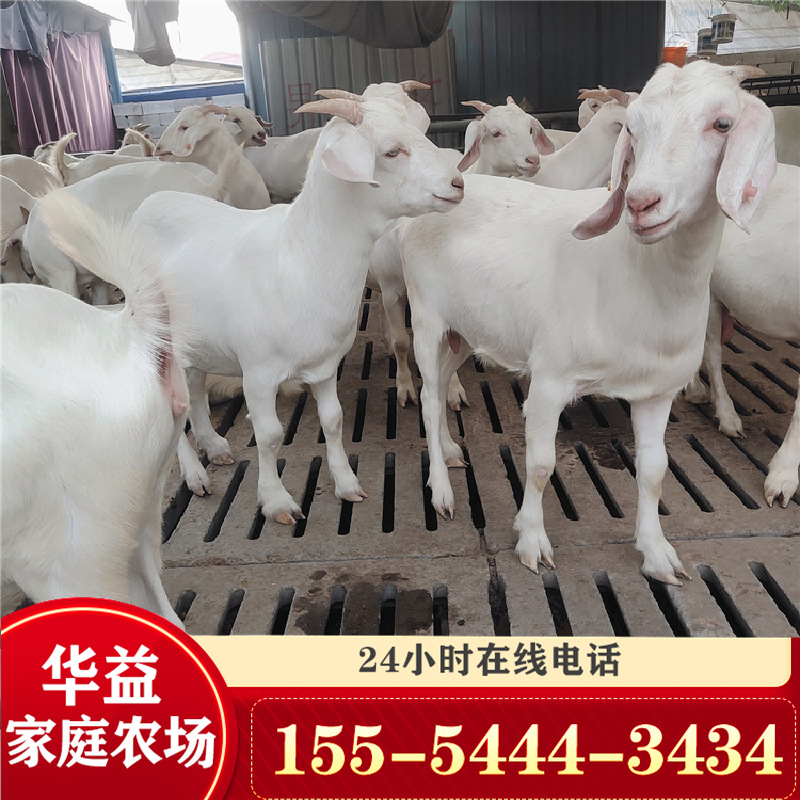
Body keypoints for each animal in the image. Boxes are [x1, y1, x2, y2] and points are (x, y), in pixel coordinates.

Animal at [130, 94, 464, 519]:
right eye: (391, 151)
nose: (458, 183)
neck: (300, 257)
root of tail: (150, 202)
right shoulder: (258, 374)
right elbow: (270, 436)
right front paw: (275, 501)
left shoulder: (324, 365)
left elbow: (334, 420)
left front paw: (347, 484)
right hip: (154, 335)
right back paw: (194, 474)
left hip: (194, 341)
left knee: (195, 389)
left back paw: (215, 446)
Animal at [393, 60, 775, 585]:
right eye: (632, 127)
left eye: (723, 124)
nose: (641, 203)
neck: (634, 272)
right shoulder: (550, 378)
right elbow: (540, 465)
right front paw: (532, 541)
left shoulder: (658, 391)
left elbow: (655, 471)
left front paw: (657, 554)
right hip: (429, 319)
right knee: (430, 401)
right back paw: (441, 493)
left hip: (463, 331)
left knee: (444, 385)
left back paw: (451, 451)